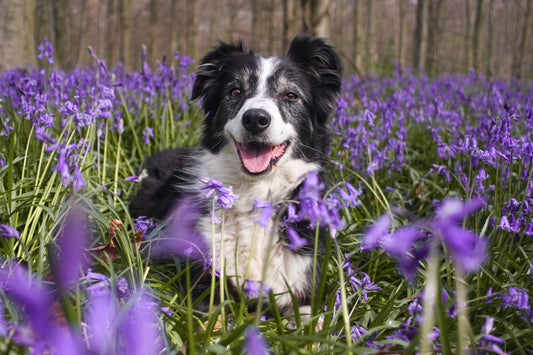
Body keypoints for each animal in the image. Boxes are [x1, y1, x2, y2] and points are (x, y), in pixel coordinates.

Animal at [131, 35, 342, 320]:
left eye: (291, 95)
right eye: (235, 92)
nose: (255, 119)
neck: (256, 192)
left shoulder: (303, 284)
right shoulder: (206, 280)